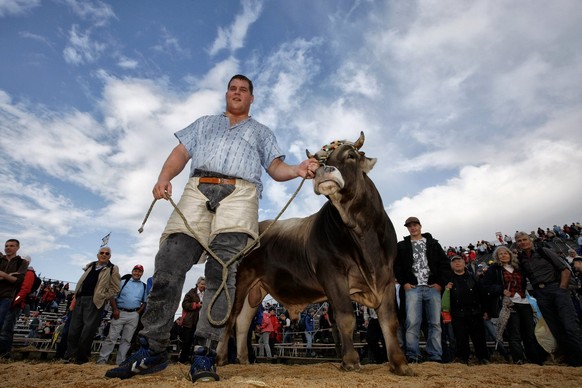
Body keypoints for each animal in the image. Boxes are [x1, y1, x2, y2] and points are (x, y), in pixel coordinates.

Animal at [218, 131, 416, 376]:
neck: (363, 234)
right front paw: (351, 361)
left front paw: (400, 364)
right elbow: (345, 317)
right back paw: (220, 358)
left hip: (257, 289)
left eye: (351, 155)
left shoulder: (386, 276)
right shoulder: (332, 274)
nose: (323, 171)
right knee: (231, 318)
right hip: (242, 280)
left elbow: (389, 321)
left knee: (243, 321)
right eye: (323, 161)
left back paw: (244, 360)